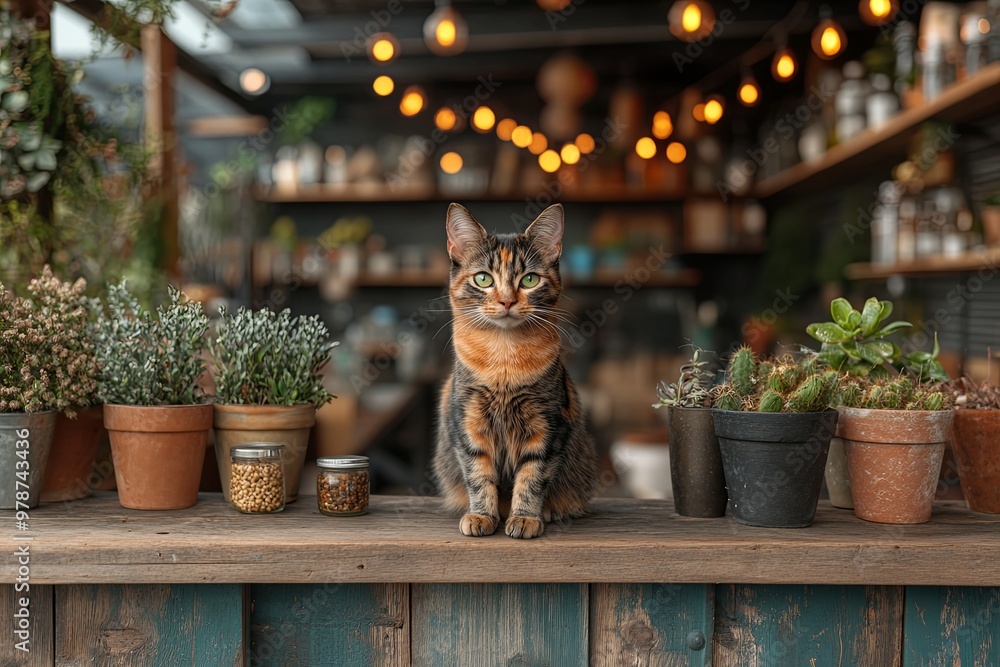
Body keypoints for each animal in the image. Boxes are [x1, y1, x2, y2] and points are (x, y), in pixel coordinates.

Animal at [430, 202, 592, 536]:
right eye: (483, 279)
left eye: (529, 280)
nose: (506, 301)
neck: (504, 362)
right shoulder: (469, 422)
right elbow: (478, 475)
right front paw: (482, 516)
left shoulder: (546, 425)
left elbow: (532, 477)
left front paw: (526, 517)